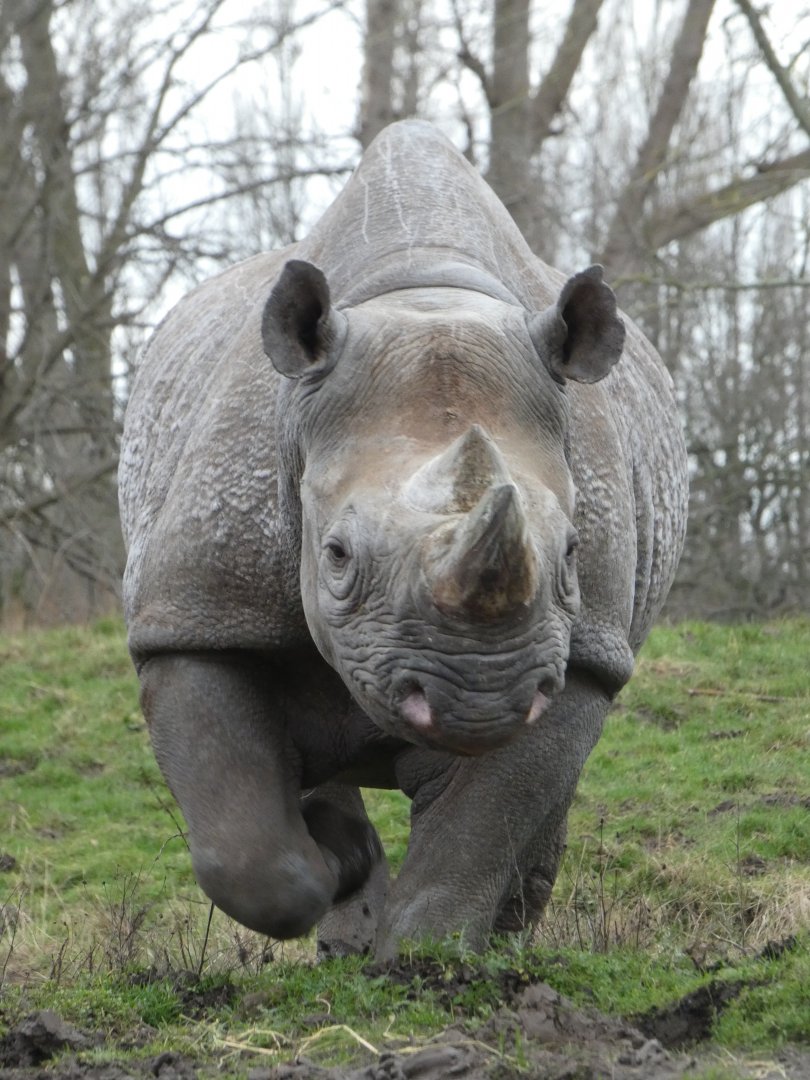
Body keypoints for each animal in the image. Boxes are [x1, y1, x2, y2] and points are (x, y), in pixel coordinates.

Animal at [119, 120, 688, 959]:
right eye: (337, 556)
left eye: (572, 554)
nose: (478, 697)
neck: (420, 295)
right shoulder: (196, 613)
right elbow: (246, 855)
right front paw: (341, 863)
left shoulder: (582, 654)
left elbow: (479, 835)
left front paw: (425, 963)